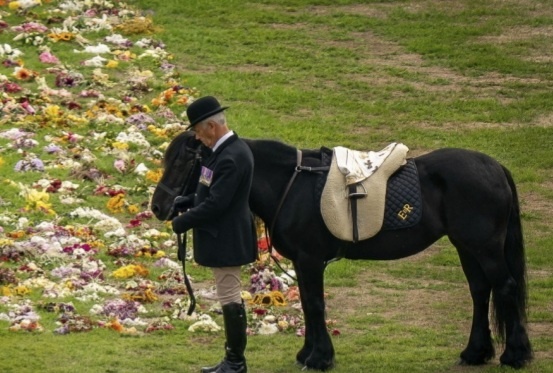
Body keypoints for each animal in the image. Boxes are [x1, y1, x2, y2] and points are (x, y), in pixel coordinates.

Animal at [150, 131, 532, 370]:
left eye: (183, 161)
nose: (159, 207)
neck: (292, 184)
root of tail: (494, 167)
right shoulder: (303, 261)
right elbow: (308, 305)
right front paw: (308, 353)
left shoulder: (309, 259)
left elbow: (315, 305)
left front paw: (319, 358)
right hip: (466, 246)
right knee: (481, 291)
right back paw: (475, 352)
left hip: (484, 247)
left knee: (505, 287)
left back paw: (515, 354)